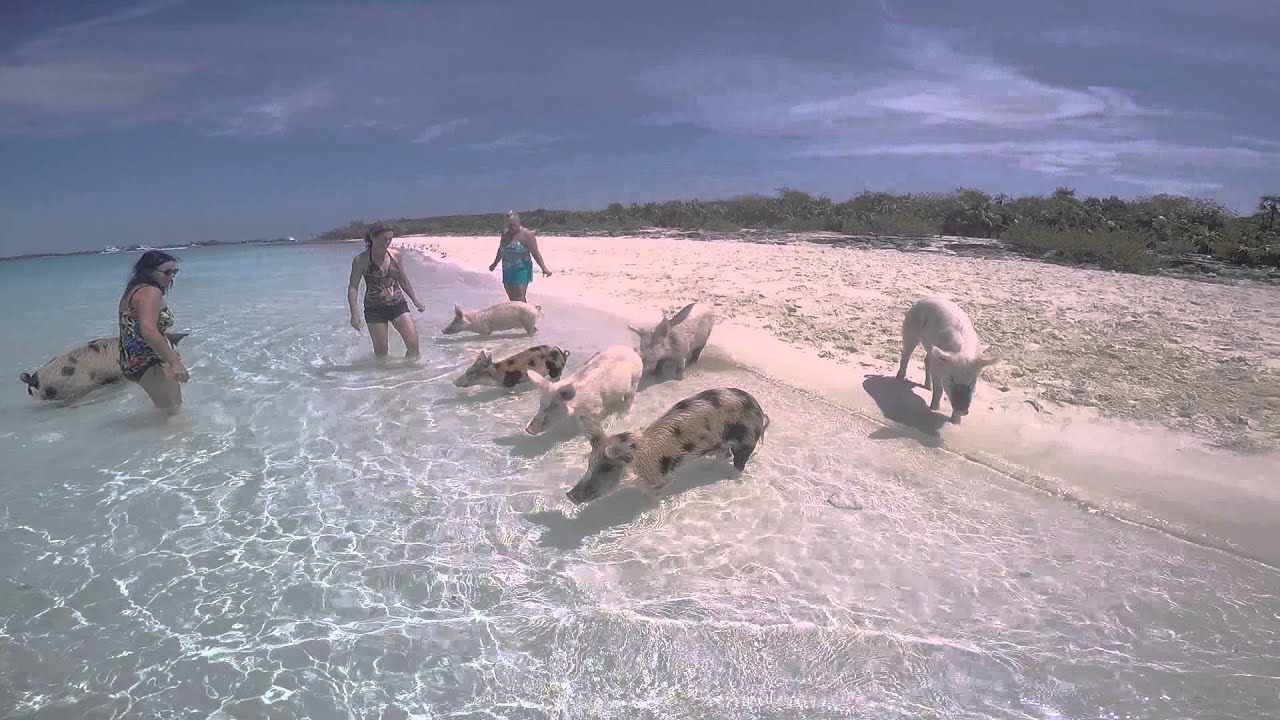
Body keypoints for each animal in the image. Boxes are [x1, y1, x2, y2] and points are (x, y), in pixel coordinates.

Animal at [567, 387, 770, 505]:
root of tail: (759, 410)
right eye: (590, 464)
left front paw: (649, 503)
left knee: (739, 463)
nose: (570, 495)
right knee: (723, 454)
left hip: (747, 440)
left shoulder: (663, 478)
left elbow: (656, 492)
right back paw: (707, 468)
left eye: (607, 468)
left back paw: (729, 478)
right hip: (721, 442)